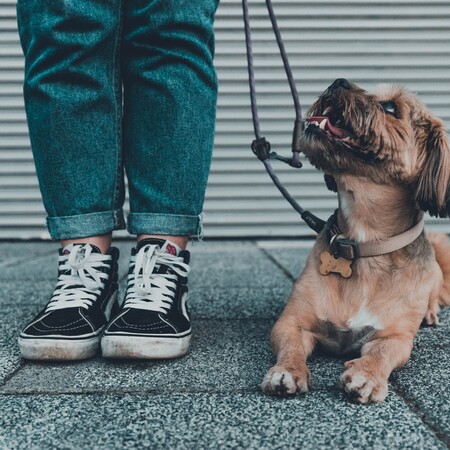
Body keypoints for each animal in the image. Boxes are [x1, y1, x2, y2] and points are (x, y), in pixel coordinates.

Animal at [262, 78, 450, 404]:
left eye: (390, 107)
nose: (338, 82)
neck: (364, 245)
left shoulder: (395, 337)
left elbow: (383, 353)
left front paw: (367, 375)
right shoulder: (291, 322)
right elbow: (291, 347)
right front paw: (286, 371)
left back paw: (429, 312)